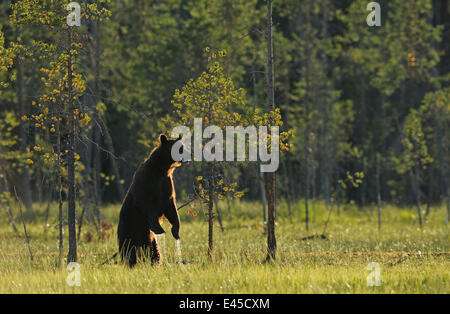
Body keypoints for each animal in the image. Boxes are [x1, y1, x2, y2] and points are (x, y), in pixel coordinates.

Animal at [118, 134, 186, 268]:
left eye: (183, 146)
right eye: (179, 148)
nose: (188, 155)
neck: (161, 169)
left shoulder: (166, 184)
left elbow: (171, 207)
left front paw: (175, 230)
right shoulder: (147, 183)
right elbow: (149, 206)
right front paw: (159, 228)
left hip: (150, 239)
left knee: (155, 252)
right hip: (128, 228)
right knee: (128, 250)